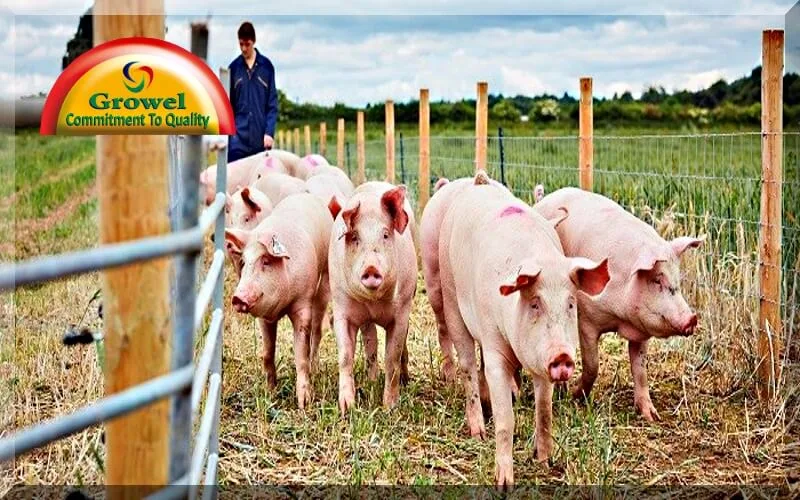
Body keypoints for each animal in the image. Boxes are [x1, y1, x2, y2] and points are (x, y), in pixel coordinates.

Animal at [225, 193, 340, 409]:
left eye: (266, 261)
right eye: (244, 262)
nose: (237, 297)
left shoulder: (303, 305)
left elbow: (300, 355)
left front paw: (304, 403)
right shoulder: (265, 317)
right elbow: (267, 353)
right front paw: (270, 392)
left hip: (325, 278)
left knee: (317, 330)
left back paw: (315, 368)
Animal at [328, 181, 417, 413]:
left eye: (385, 235)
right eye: (354, 237)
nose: (370, 268)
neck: (372, 302)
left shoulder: (402, 310)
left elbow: (392, 357)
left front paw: (390, 407)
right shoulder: (341, 308)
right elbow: (345, 356)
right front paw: (347, 408)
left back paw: (405, 380)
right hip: (364, 320)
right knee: (371, 341)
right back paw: (371, 380)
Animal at [423, 172, 610, 486]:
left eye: (571, 303)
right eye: (535, 303)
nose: (562, 356)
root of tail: (478, 183)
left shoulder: (539, 360)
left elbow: (544, 411)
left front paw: (544, 462)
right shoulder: (495, 347)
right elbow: (505, 419)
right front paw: (504, 482)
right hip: (448, 295)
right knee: (467, 364)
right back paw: (477, 430)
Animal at [535, 187, 704, 422]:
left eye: (677, 281)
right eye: (657, 280)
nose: (692, 318)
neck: (621, 319)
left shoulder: (641, 333)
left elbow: (640, 370)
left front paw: (652, 416)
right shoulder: (586, 318)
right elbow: (592, 365)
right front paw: (577, 397)